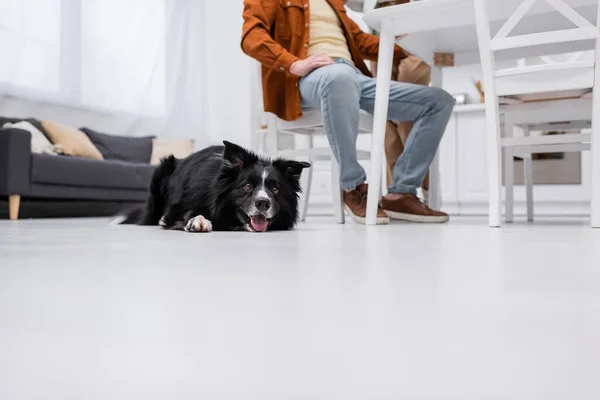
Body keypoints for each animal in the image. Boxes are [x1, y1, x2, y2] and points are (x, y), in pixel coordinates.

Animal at [119, 142, 312, 233]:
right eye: (247, 186)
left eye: (275, 190)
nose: (263, 203)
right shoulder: (178, 208)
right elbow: (186, 214)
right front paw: (198, 221)